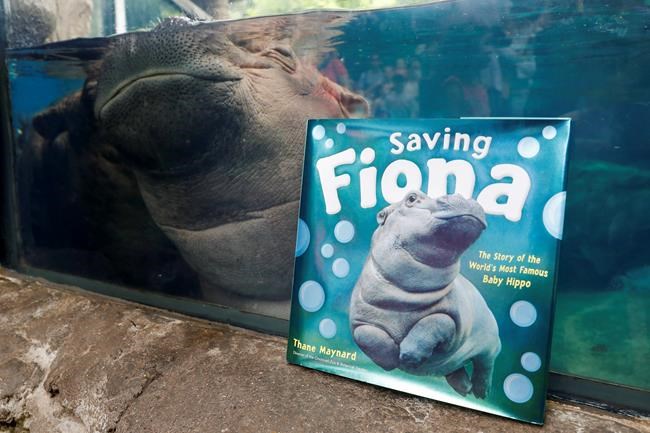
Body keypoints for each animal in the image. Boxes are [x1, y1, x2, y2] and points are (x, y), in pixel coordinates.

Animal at [349, 191, 501, 398]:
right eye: (412, 198)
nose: (465, 197)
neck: (404, 299)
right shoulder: (360, 319)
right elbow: (367, 335)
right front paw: (392, 359)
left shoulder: (454, 318)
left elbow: (434, 322)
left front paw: (407, 355)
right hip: (454, 361)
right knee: (456, 368)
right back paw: (464, 389)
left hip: (491, 341)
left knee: (485, 364)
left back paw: (480, 392)